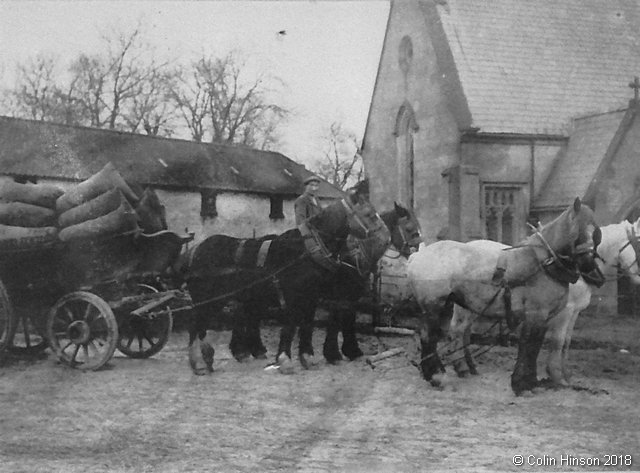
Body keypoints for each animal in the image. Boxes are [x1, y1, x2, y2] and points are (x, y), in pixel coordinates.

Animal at [185, 181, 390, 372]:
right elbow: (292, 324)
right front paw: (286, 359)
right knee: (197, 324)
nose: (386, 239)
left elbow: (309, 323)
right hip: (208, 298)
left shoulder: (314, 296)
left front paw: (308, 356)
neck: (308, 251)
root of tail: (197, 248)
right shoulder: (298, 296)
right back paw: (201, 360)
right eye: (369, 214)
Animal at [322, 201, 422, 364]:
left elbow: (346, 318)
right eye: (409, 229)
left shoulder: (349, 296)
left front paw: (346, 351)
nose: (416, 254)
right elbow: (339, 319)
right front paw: (336, 353)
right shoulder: (342, 295)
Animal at [408, 196, 604, 394]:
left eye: (596, 233)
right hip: (434, 305)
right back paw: (437, 376)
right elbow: (528, 345)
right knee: (429, 337)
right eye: (577, 231)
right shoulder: (536, 313)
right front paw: (521, 384)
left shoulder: (546, 316)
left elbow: (536, 346)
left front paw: (531, 382)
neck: (543, 263)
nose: (589, 266)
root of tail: (417, 256)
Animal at [444, 219, 640, 386]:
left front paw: (565, 374)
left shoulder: (573, 312)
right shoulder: (564, 312)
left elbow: (566, 342)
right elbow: (557, 341)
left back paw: (470, 366)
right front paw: (556, 376)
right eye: (637, 243)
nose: (638, 278)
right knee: (458, 330)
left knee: (465, 333)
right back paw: (462, 368)